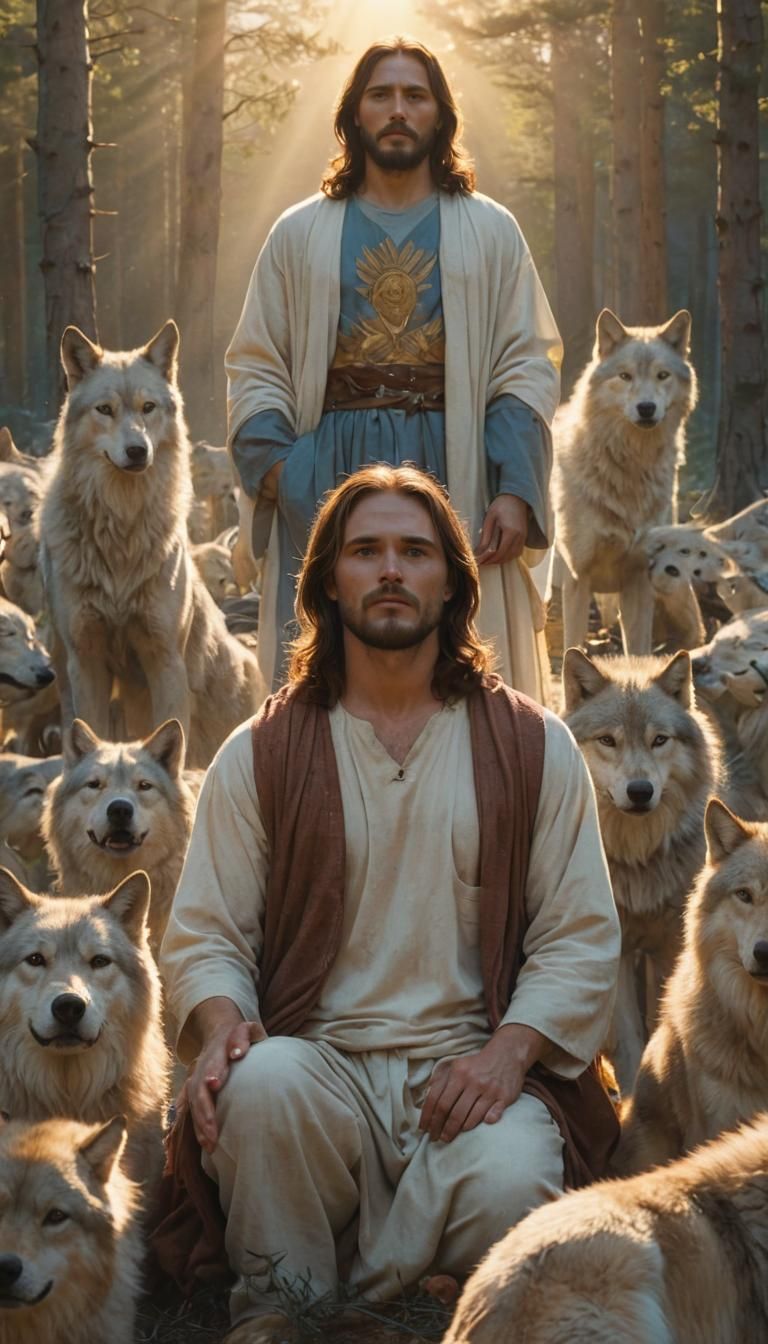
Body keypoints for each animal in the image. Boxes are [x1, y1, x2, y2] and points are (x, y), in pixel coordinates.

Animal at [39, 322, 265, 768]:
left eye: (148, 408)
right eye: (105, 410)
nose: (137, 450)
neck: (121, 530)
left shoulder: (165, 660)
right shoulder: (86, 661)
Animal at [553, 309, 698, 654]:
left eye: (662, 375)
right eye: (625, 376)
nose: (646, 408)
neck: (628, 468)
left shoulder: (639, 578)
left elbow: (639, 652)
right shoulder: (577, 577)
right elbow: (571, 650)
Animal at [562, 648, 722, 1090]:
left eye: (659, 740)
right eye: (608, 740)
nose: (639, 791)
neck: (635, 859)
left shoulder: (667, 947)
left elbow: (658, 1019)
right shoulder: (612, 953)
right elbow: (629, 1038)